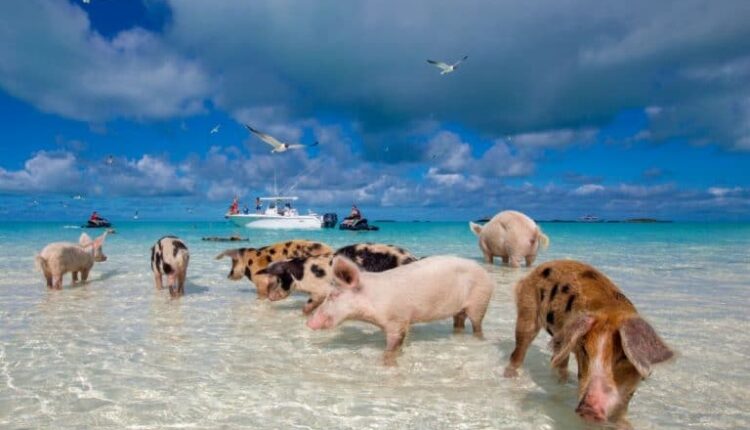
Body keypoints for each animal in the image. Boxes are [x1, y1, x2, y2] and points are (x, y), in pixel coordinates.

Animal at [262, 243, 417, 314]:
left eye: (279, 280)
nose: (269, 297)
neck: (302, 273)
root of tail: (412, 259)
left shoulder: (320, 290)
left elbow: (309, 305)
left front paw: (304, 314)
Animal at [307, 255, 494, 366]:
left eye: (334, 295)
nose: (309, 323)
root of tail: (483, 270)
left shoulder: (397, 320)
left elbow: (392, 347)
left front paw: (386, 364)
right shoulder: (402, 322)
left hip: (480, 300)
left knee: (477, 325)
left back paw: (479, 339)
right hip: (460, 309)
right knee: (459, 322)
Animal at [503, 260, 674, 426]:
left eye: (623, 357)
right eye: (585, 351)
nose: (588, 409)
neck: (611, 311)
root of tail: (534, 271)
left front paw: (625, 424)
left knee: (558, 360)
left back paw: (564, 381)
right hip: (527, 312)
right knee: (519, 350)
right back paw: (510, 376)